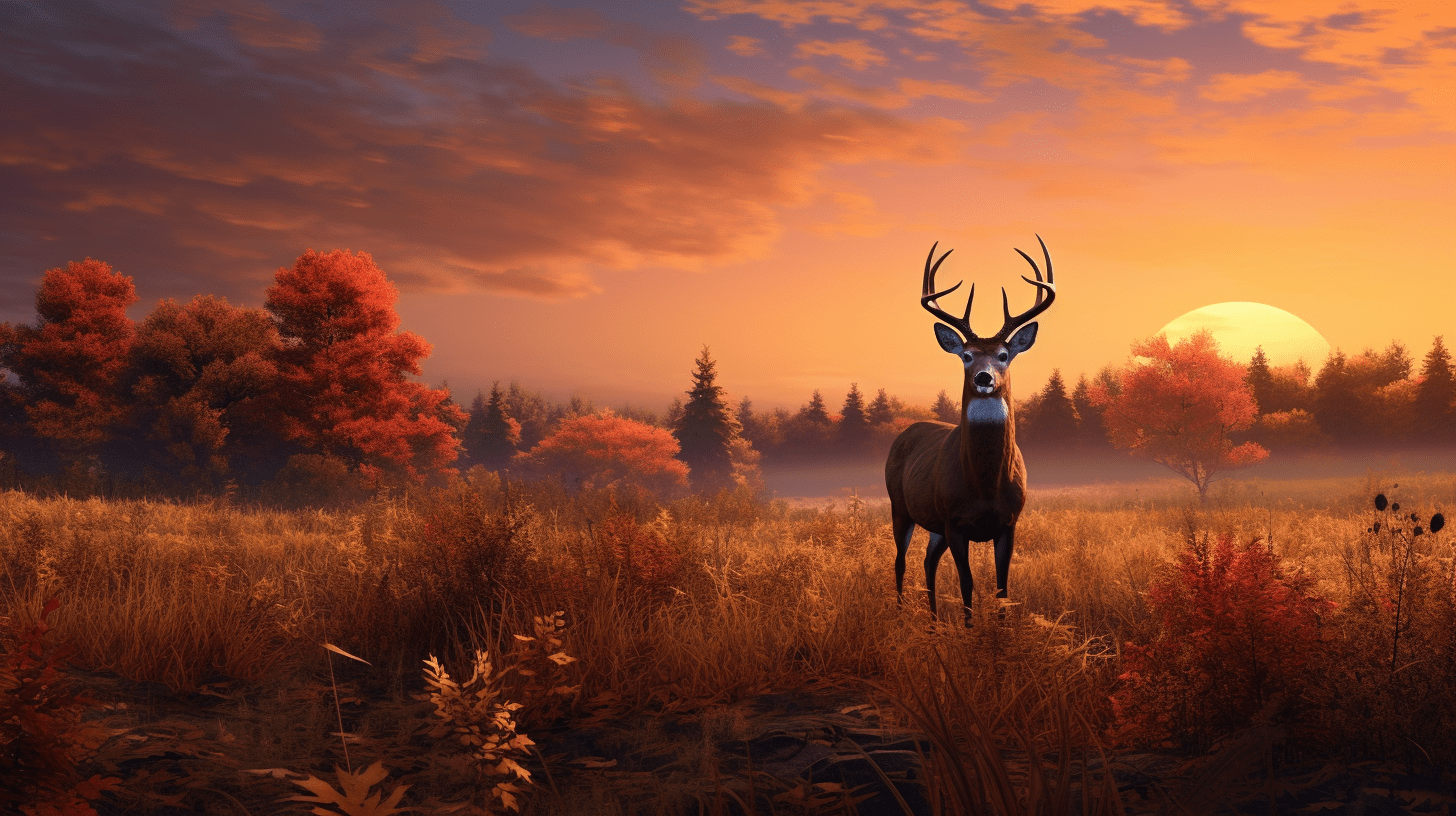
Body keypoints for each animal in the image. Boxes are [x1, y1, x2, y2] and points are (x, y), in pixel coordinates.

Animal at [885, 236, 1055, 626]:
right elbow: (967, 586)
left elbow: (1002, 588)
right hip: (900, 506)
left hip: (934, 524)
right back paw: (901, 617)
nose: (984, 377)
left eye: (1004, 354)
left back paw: (933, 624)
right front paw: (969, 631)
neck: (985, 486)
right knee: (900, 562)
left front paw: (1001, 633)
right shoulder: (956, 521)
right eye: (966, 355)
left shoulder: (1008, 523)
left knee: (927, 561)